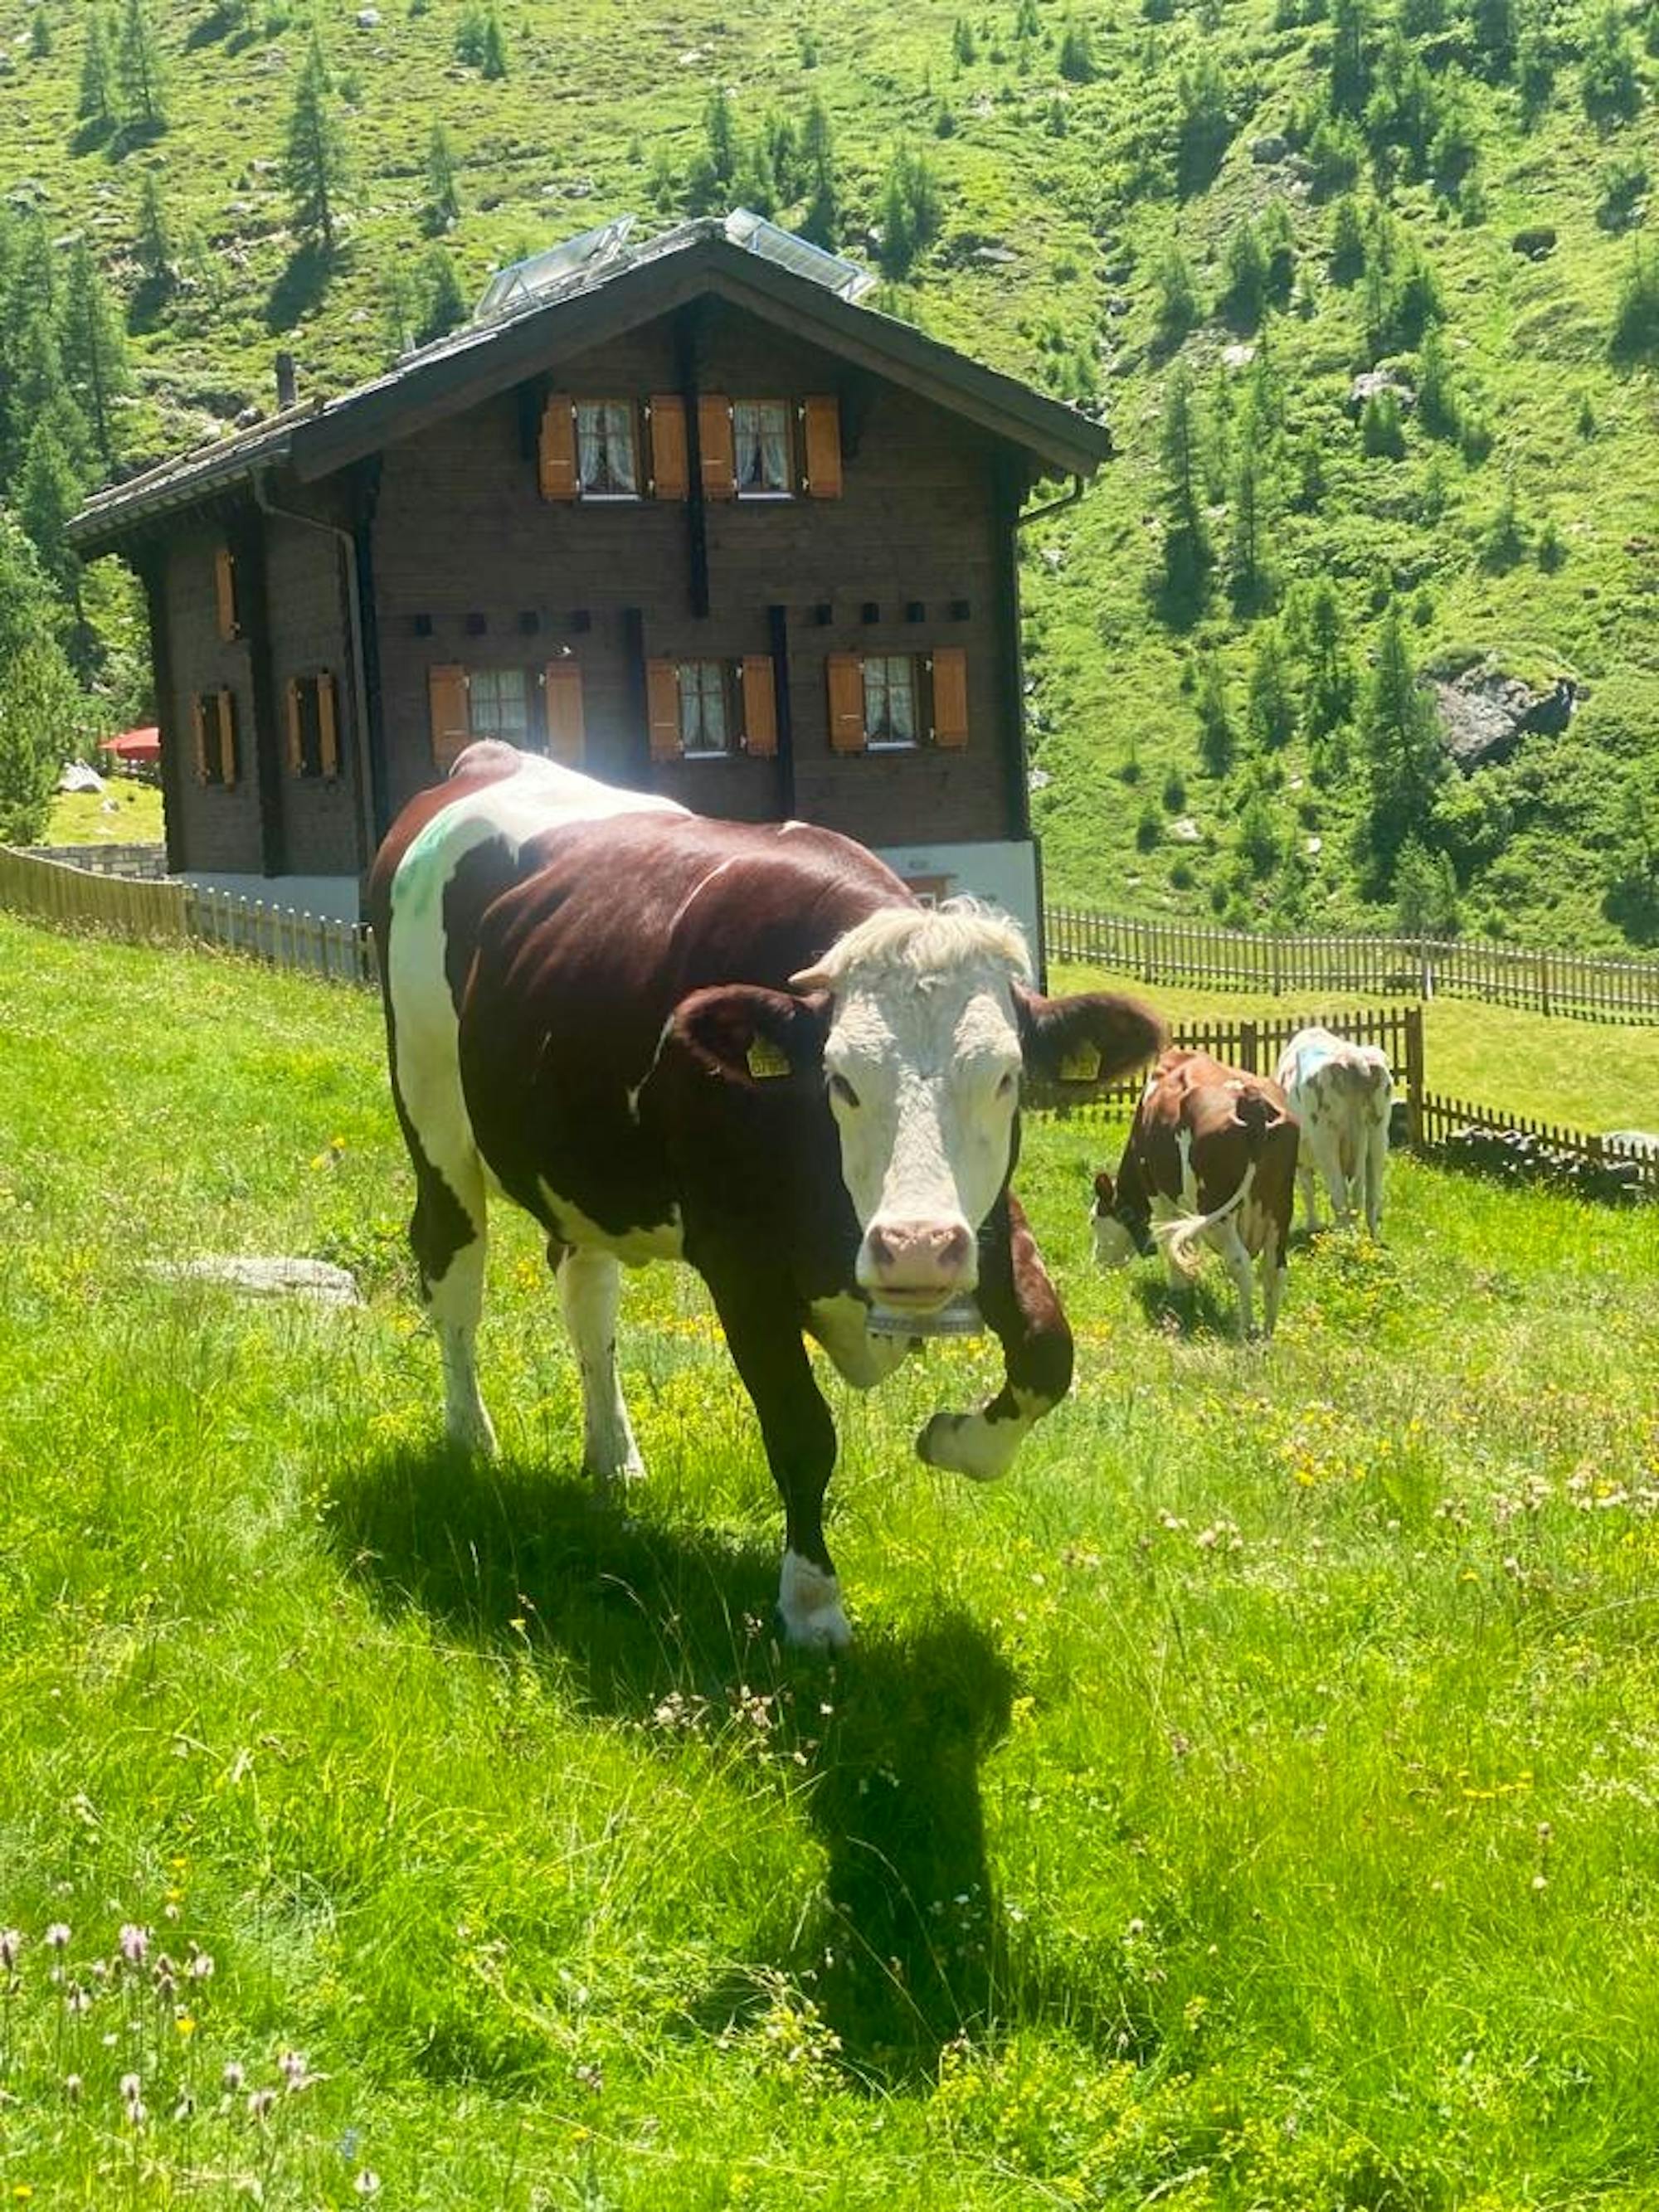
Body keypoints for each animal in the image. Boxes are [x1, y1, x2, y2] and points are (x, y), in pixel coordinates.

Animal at [369, 745, 1166, 1651]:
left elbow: (1045, 1352)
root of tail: (490, 758)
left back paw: (613, 1455)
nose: (916, 1247)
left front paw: (953, 1439)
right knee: (452, 1270)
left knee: (586, 1297)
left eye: (1005, 1078)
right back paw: (471, 1438)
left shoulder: (985, 1225)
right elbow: (800, 1429)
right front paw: (812, 1603)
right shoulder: (738, 1262)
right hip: (431, 1111)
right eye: (840, 1080)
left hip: (578, 1168)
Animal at [1090, 1050, 1298, 1340]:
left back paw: (1246, 1331)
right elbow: (1187, 1242)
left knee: (1240, 1262)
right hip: (1280, 1208)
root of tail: (1251, 1100)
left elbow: (1171, 1240)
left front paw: (1179, 1292)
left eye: (1094, 1220)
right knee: (1274, 1268)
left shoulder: (1160, 1195)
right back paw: (1268, 1334)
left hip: (1217, 1210)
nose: (1096, 1262)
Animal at [1274, 1025, 1393, 1236]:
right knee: (1370, 1197)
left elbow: (1307, 1189)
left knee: (1341, 1197)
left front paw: (1312, 1226)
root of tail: (1353, 1058)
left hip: (1325, 1141)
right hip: (1378, 1135)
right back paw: (1372, 1238)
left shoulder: (1300, 1155)